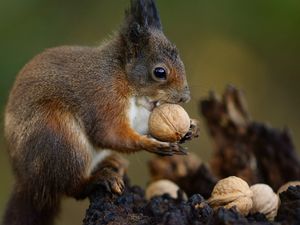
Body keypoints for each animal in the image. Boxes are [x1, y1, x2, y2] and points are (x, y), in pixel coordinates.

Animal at [3, 0, 198, 225]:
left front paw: (191, 127)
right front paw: (152, 144)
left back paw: (112, 162)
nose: (185, 98)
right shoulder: (104, 96)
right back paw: (98, 179)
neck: (123, 76)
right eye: (160, 72)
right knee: (72, 187)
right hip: (60, 141)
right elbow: (109, 133)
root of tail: (28, 183)